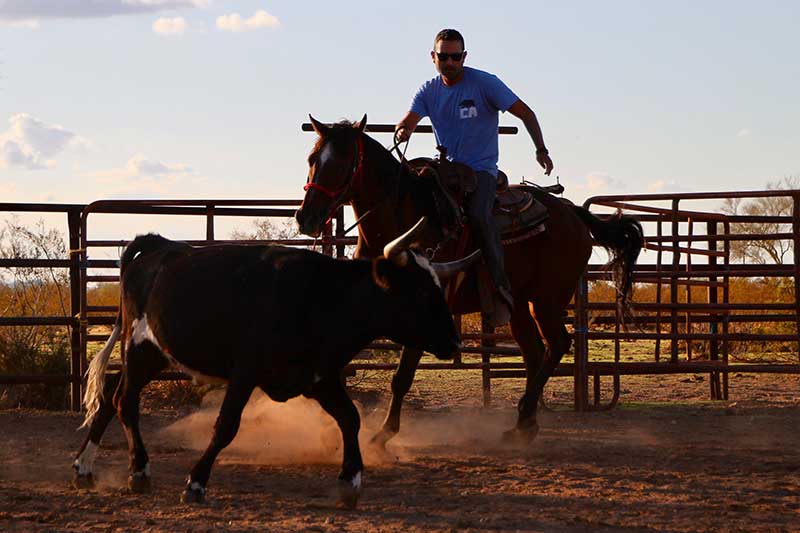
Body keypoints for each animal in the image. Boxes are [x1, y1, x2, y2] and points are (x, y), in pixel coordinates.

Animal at [296, 115, 644, 444]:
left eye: (343, 162)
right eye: (312, 159)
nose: (306, 217)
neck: (403, 220)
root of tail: (573, 213)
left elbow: (403, 375)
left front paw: (383, 434)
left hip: (547, 299)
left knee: (556, 345)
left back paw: (524, 417)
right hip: (519, 305)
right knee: (534, 352)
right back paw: (522, 425)